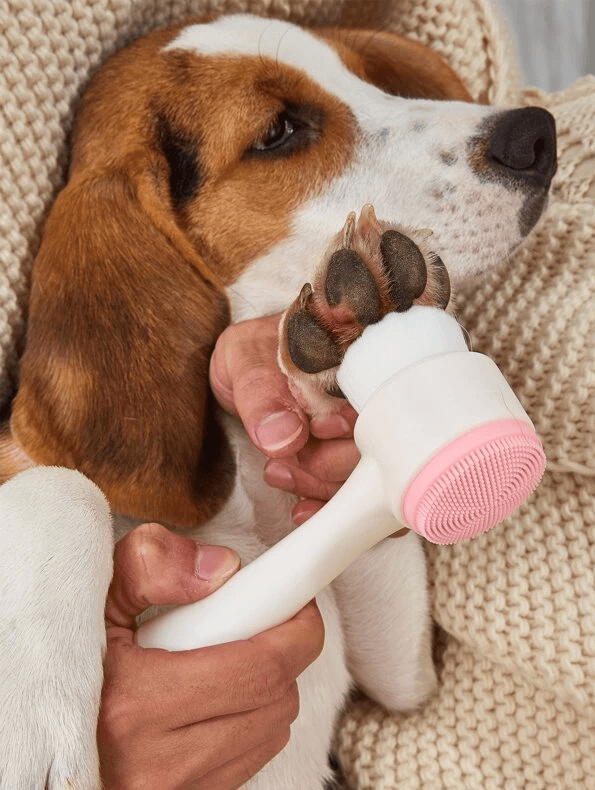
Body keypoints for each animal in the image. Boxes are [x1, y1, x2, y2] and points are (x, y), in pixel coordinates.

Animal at [0, 12, 560, 790]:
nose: (536, 134)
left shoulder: (399, 682)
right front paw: (35, 726)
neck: (240, 507)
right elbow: (62, 483)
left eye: (368, 79)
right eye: (278, 132)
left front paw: (321, 363)